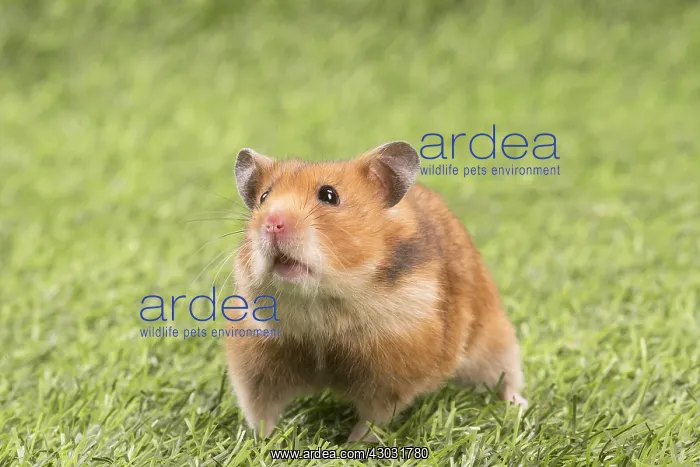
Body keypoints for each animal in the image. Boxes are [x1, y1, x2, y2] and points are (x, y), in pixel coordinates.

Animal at [225, 141, 527, 443]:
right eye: (264, 197)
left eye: (329, 195)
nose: (272, 223)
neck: (319, 304)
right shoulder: (255, 364)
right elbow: (260, 410)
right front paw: (262, 441)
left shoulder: (392, 372)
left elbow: (374, 418)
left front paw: (350, 445)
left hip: (494, 340)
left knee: (506, 376)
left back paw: (520, 406)